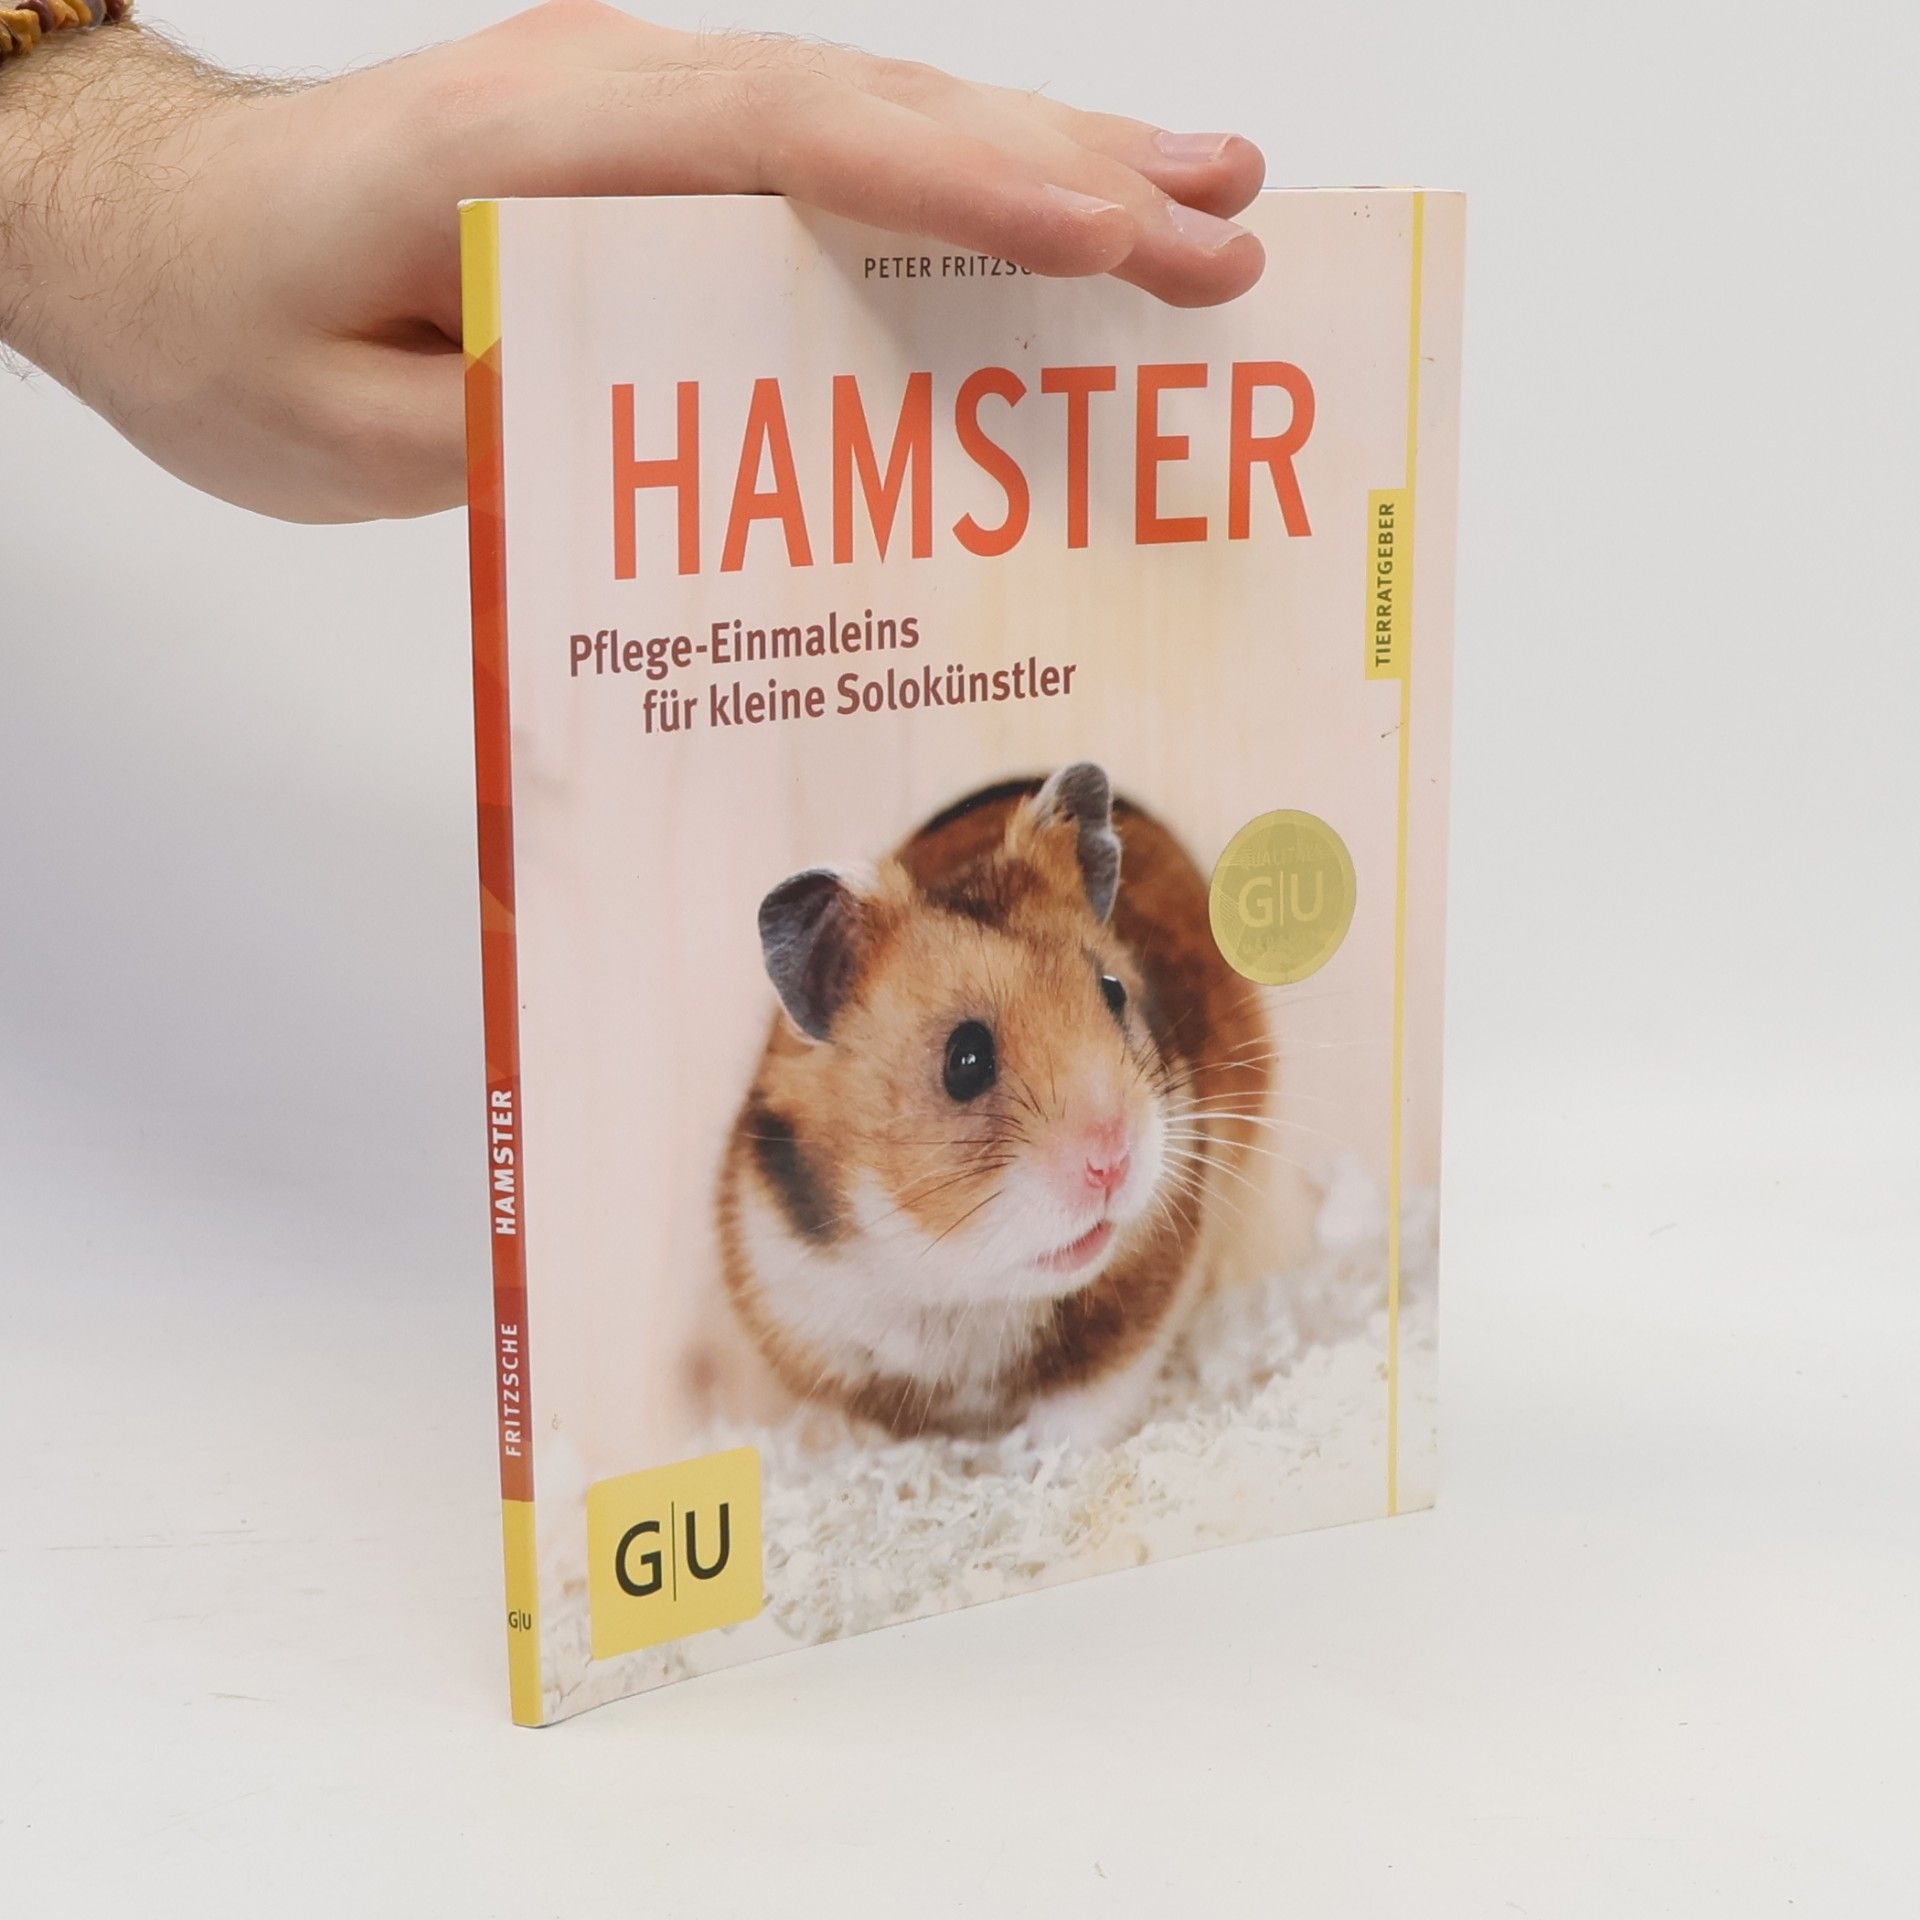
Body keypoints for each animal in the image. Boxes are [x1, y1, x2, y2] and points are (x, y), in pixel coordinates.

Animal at [714, 763, 1272, 1450]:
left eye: (1113, 993)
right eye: (966, 1059)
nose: (1112, 1163)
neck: (957, 1278)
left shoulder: (1144, 1292)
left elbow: (1086, 1404)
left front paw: (1039, 1459)